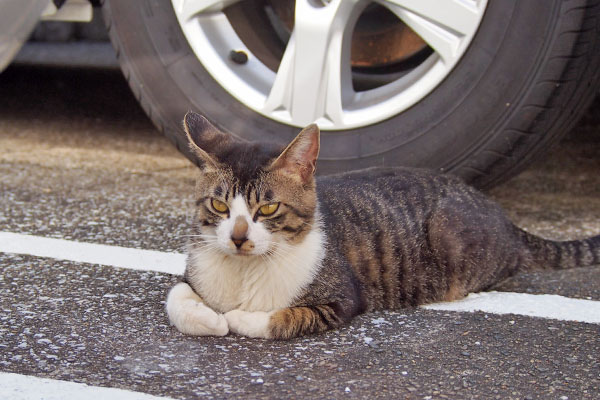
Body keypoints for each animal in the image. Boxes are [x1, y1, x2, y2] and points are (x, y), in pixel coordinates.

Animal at [165, 111, 600, 340]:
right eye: (219, 204)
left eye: (269, 207)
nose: (238, 237)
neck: (244, 272)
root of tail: (505, 219)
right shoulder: (194, 274)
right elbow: (176, 296)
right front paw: (209, 319)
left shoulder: (342, 300)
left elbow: (283, 317)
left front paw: (237, 318)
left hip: (449, 231)